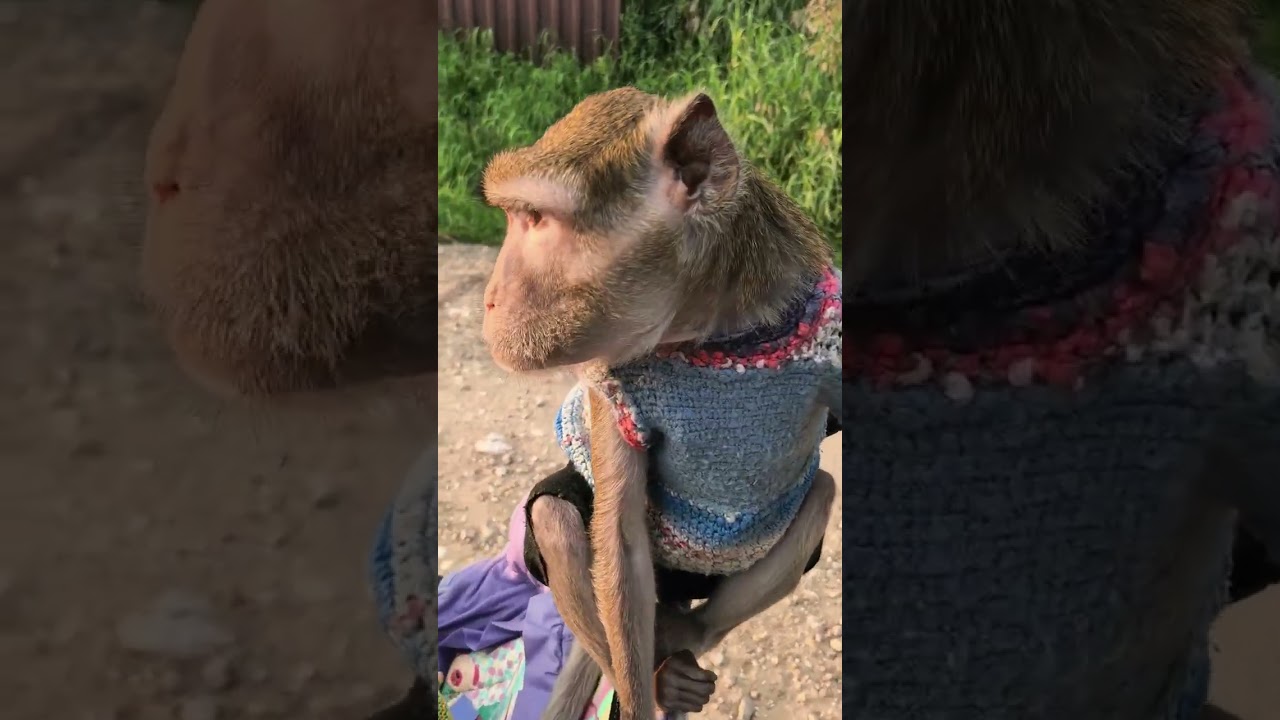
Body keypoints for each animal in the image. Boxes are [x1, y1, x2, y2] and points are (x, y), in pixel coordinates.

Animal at [479, 87, 843, 719]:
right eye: (515, 217)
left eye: (535, 219)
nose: (490, 300)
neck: (711, 330)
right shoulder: (612, 385)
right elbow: (621, 541)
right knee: (555, 516)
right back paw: (661, 675)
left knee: (820, 493)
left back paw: (686, 636)